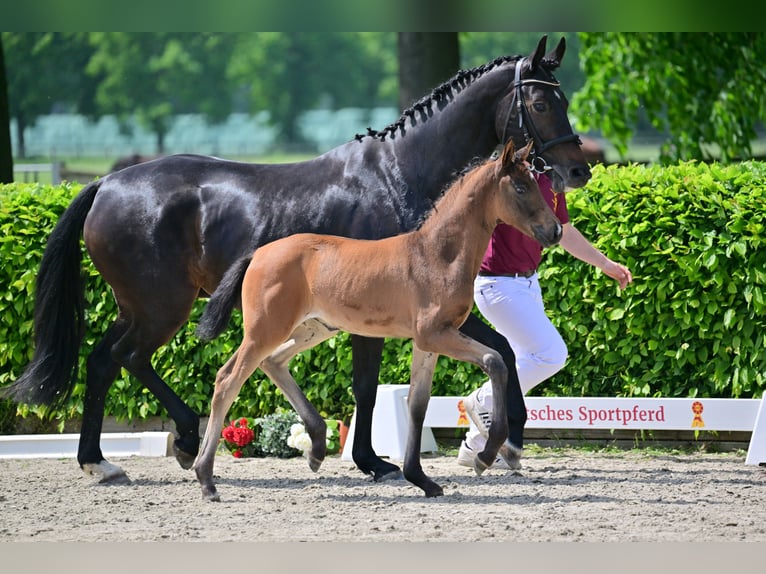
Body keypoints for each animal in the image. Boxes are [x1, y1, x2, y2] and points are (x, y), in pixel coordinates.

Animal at [195, 140, 560, 500]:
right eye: (520, 187)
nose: (555, 230)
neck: (438, 255)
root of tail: (258, 253)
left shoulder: (429, 342)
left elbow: (417, 404)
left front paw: (421, 479)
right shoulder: (435, 335)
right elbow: (495, 360)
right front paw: (486, 455)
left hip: (314, 328)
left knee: (273, 362)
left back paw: (316, 446)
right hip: (265, 330)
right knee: (228, 380)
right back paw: (206, 478)